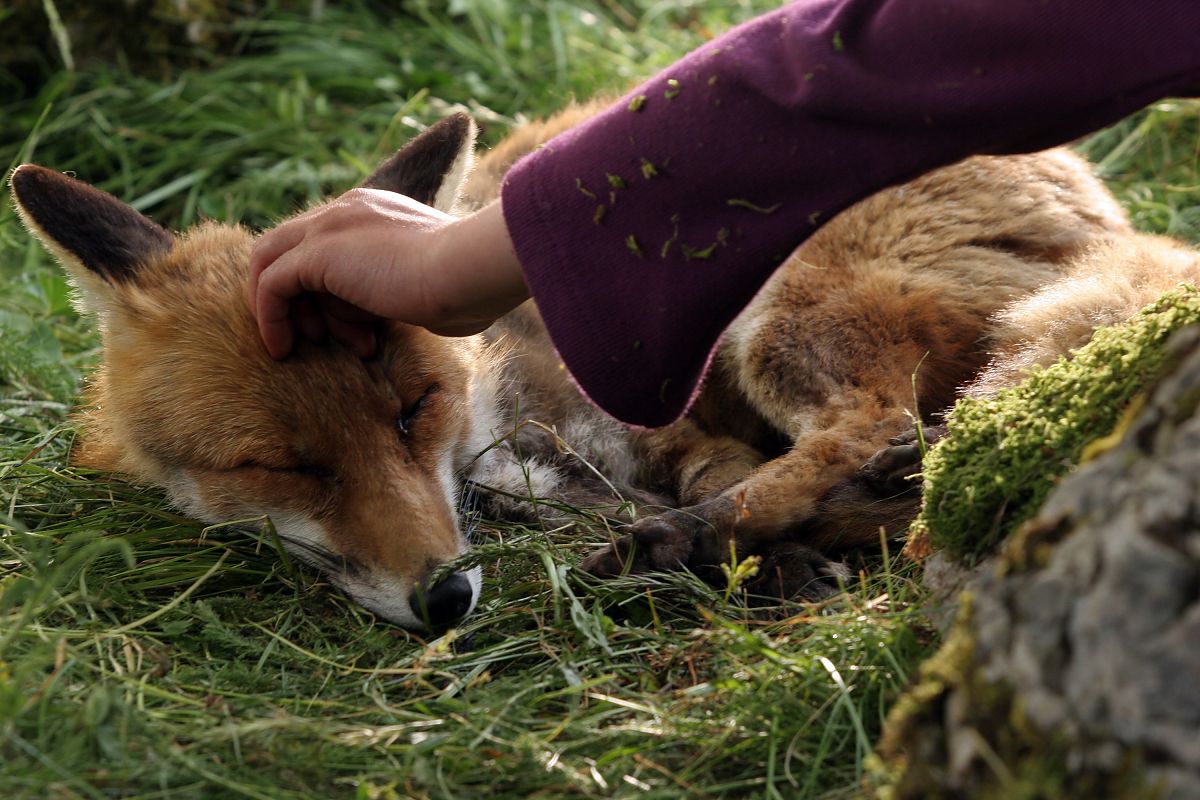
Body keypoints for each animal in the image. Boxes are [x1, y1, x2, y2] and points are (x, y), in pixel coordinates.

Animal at [11, 104, 1200, 630]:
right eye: (286, 466)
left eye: (412, 407)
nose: (446, 596)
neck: (491, 425)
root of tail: (1111, 210)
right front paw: (766, 559)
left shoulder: (655, 423)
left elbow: (716, 475)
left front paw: (726, 544)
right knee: (908, 448)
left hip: (777, 315)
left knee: (885, 426)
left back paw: (703, 537)